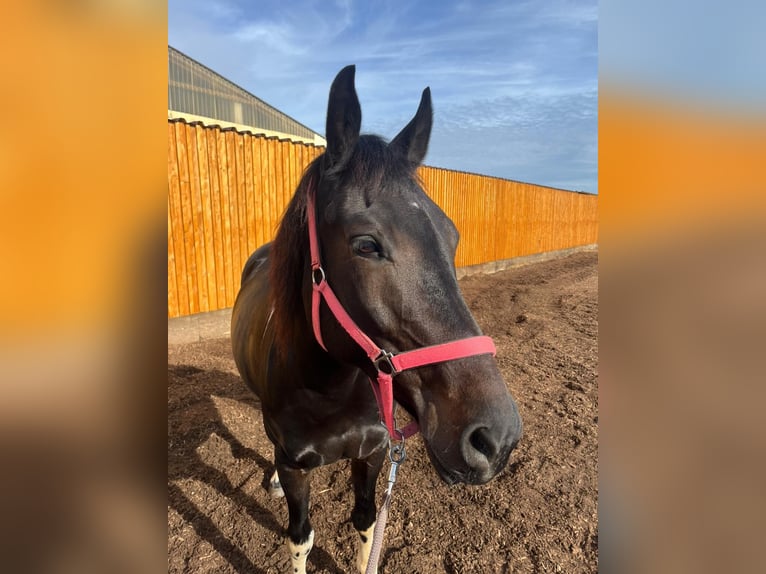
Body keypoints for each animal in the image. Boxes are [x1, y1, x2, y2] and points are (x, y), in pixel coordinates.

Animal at [231, 65, 522, 574]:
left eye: (452, 236)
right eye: (366, 244)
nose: (496, 438)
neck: (330, 389)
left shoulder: (371, 456)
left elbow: (366, 526)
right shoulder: (296, 467)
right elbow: (300, 538)